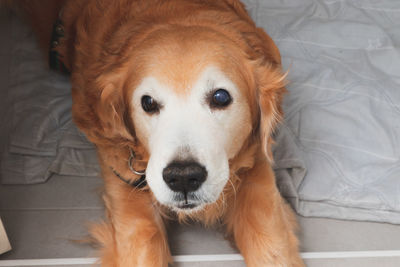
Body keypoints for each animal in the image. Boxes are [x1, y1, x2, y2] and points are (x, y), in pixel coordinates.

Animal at [17, 0, 304, 266]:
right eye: (148, 103)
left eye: (220, 97)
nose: (183, 177)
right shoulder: (127, 194)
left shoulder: (257, 174)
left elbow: (272, 247)